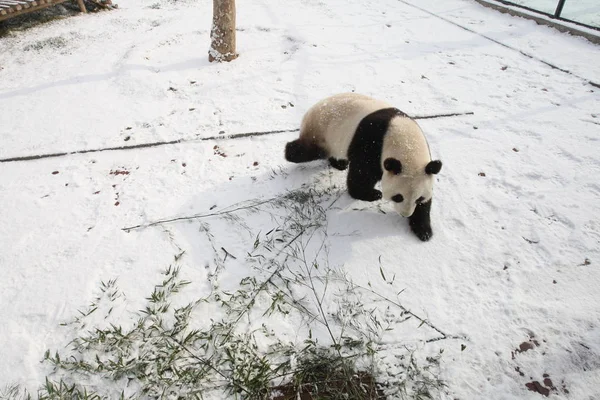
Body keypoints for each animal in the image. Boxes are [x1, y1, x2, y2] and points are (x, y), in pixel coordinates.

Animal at [284, 92, 442, 241]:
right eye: (398, 197)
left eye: (419, 198)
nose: (405, 214)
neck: (406, 144)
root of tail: (312, 109)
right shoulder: (372, 144)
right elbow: (362, 174)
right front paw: (372, 194)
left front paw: (424, 231)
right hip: (323, 131)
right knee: (309, 150)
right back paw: (289, 151)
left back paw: (339, 164)